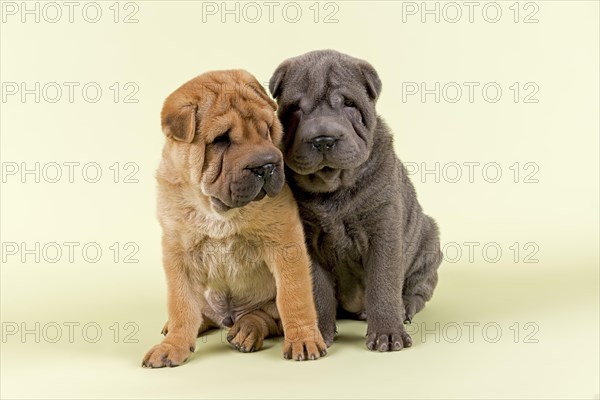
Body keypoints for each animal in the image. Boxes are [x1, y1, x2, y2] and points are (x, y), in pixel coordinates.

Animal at [142, 70, 326, 368]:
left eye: (266, 129)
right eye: (221, 140)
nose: (266, 165)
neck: (216, 209)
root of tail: (229, 317)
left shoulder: (285, 244)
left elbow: (294, 296)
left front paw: (303, 339)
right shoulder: (178, 253)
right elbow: (182, 304)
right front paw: (172, 346)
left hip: (263, 306)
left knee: (262, 317)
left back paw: (246, 332)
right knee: (199, 313)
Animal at [270, 50, 442, 354]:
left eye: (349, 104)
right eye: (296, 109)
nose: (323, 139)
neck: (333, 186)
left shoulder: (383, 228)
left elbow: (383, 283)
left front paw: (388, 335)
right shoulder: (306, 240)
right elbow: (317, 291)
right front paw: (319, 333)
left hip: (429, 243)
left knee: (418, 288)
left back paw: (405, 307)